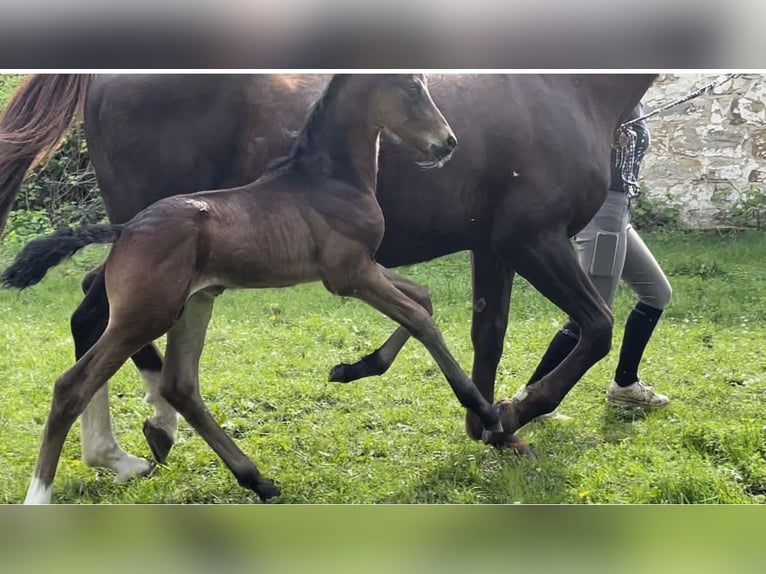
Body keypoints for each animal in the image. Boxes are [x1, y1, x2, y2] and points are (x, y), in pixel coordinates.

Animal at [1, 73, 660, 482]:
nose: (447, 143)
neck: (568, 88)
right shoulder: (532, 238)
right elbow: (595, 328)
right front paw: (514, 413)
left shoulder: (491, 246)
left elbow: (483, 330)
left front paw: (486, 420)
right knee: (98, 321)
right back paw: (133, 441)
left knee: (99, 320)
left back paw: (127, 448)